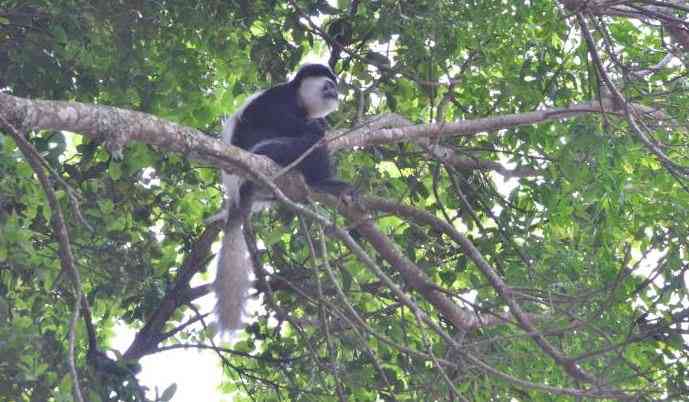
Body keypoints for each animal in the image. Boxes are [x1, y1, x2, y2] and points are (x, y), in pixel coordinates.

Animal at [214, 65, 354, 330]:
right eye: (328, 85)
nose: (335, 93)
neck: (300, 101)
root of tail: (236, 191)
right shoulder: (277, 98)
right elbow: (277, 117)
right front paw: (315, 125)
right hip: (267, 152)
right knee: (306, 141)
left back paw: (327, 184)